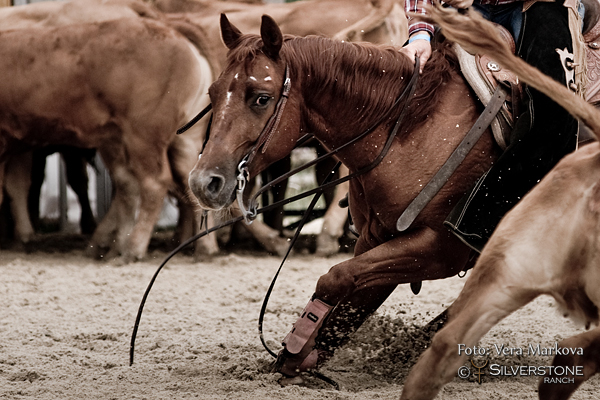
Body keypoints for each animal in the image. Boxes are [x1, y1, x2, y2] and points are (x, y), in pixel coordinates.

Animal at [190, 14, 500, 380]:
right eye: (212, 92)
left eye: (261, 98)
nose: (202, 182)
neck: (413, 128)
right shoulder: (376, 238)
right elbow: (353, 298)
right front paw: (298, 358)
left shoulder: (441, 248)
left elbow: (335, 278)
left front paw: (296, 349)